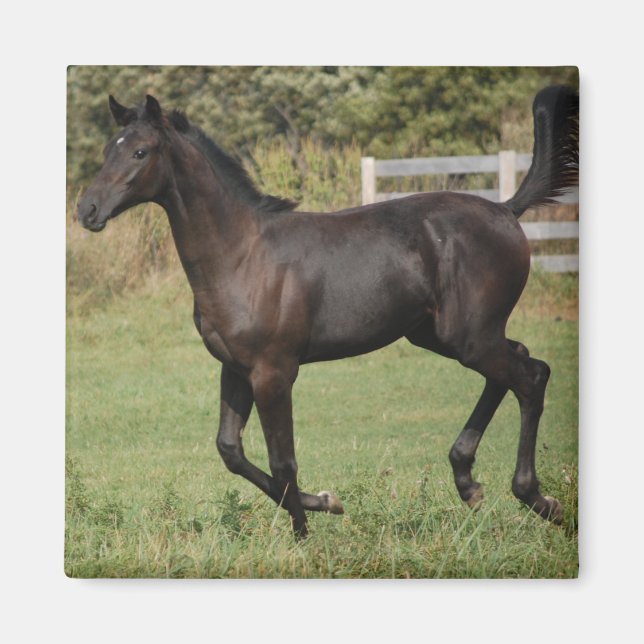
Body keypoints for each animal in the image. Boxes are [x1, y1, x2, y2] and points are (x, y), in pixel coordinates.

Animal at [78, 86, 579, 537]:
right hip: (441, 334)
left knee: (531, 375)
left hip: (468, 336)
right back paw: (469, 483)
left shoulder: (274, 371)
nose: (87, 209)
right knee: (516, 365)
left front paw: (304, 536)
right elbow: (230, 451)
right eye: (107, 150)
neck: (242, 255)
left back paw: (538, 500)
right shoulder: (236, 368)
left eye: (140, 151)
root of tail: (505, 210)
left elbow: (283, 460)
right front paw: (325, 502)